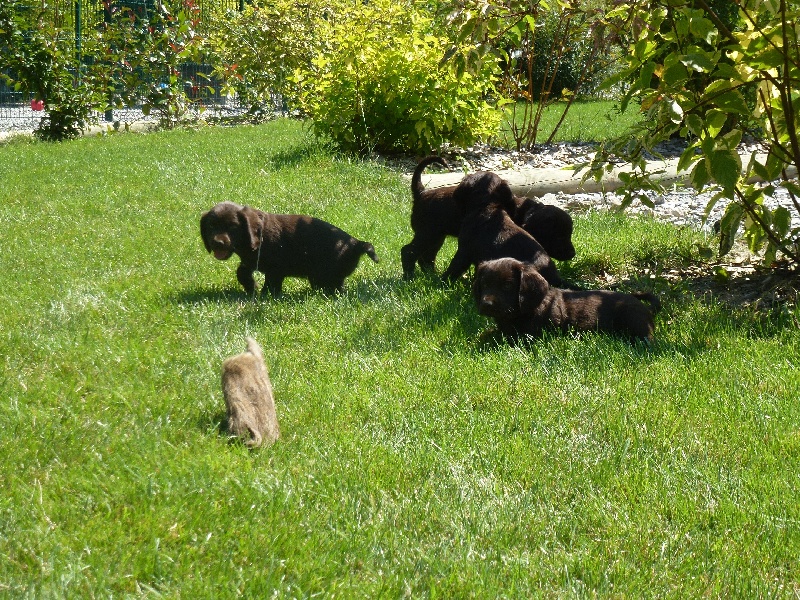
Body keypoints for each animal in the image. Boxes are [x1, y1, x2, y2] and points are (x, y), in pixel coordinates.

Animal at [198, 200, 376, 296]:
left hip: (325, 273)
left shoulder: (276, 268)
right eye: (211, 226)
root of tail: (356, 243)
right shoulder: (250, 260)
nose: (217, 243)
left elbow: (271, 284)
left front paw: (265, 296)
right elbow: (241, 272)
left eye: (233, 227)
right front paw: (252, 287)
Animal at [400, 154, 576, 278]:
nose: (572, 254)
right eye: (558, 236)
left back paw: (431, 275)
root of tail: (421, 193)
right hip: (427, 233)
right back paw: (410, 277)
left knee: (426, 257)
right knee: (409, 251)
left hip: (436, 236)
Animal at [472, 256, 660, 342]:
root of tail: (646, 309)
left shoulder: (529, 337)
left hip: (633, 321)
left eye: (507, 285)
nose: (486, 304)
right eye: (485, 284)